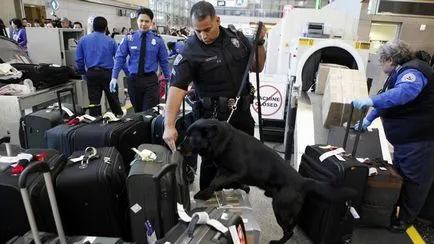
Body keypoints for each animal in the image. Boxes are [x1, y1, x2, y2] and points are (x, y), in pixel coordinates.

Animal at [177, 119, 356, 243]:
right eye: (186, 135)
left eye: (191, 137)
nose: (178, 148)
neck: (222, 140)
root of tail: (302, 181)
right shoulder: (224, 170)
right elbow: (218, 180)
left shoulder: (238, 171)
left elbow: (216, 182)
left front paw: (203, 193)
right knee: (291, 227)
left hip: (280, 209)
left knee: (289, 231)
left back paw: (278, 242)